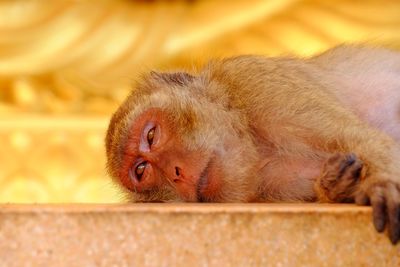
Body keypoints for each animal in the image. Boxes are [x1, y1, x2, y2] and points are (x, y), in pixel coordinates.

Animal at [105, 45, 400, 245]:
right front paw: (338, 186)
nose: (175, 172)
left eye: (151, 135)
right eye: (141, 170)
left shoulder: (255, 81)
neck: (257, 144)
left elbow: (358, 137)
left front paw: (382, 183)